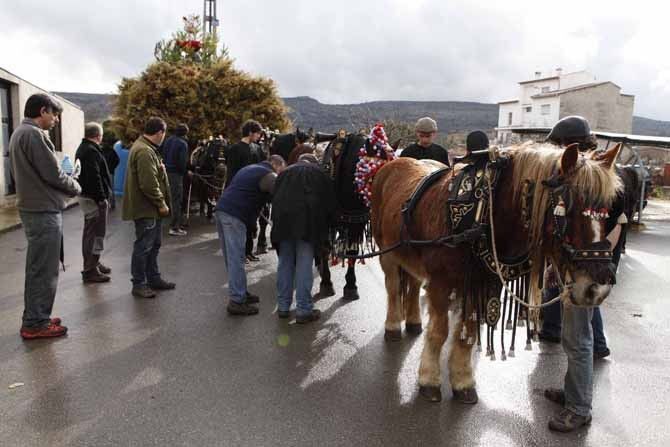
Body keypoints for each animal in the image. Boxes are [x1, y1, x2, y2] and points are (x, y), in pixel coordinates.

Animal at [371, 142, 622, 404]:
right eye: (569, 209)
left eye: (607, 210)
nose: (598, 288)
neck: (480, 215)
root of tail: (392, 164)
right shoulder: (441, 283)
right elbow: (440, 332)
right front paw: (429, 380)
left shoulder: (482, 283)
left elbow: (469, 332)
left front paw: (462, 381)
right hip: (387, 253)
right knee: (393, 287)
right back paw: (393, 325)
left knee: (411, 283)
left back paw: (413, 321)